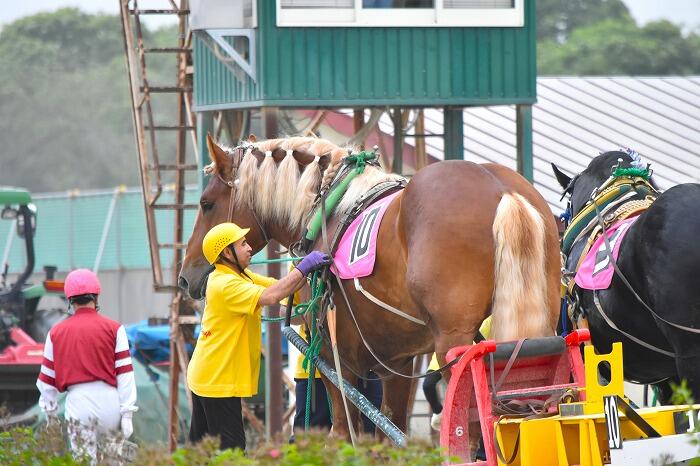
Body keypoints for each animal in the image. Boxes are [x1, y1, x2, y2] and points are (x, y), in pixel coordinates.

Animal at [180, 136, 564, 444]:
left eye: (206, 203)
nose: (185, 277)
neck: (330, 207)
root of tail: (501, 189)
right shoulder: (397, 363)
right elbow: (390, 432)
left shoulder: (335, 357)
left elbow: (345, 432)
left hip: (452, 345)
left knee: (468, 433)